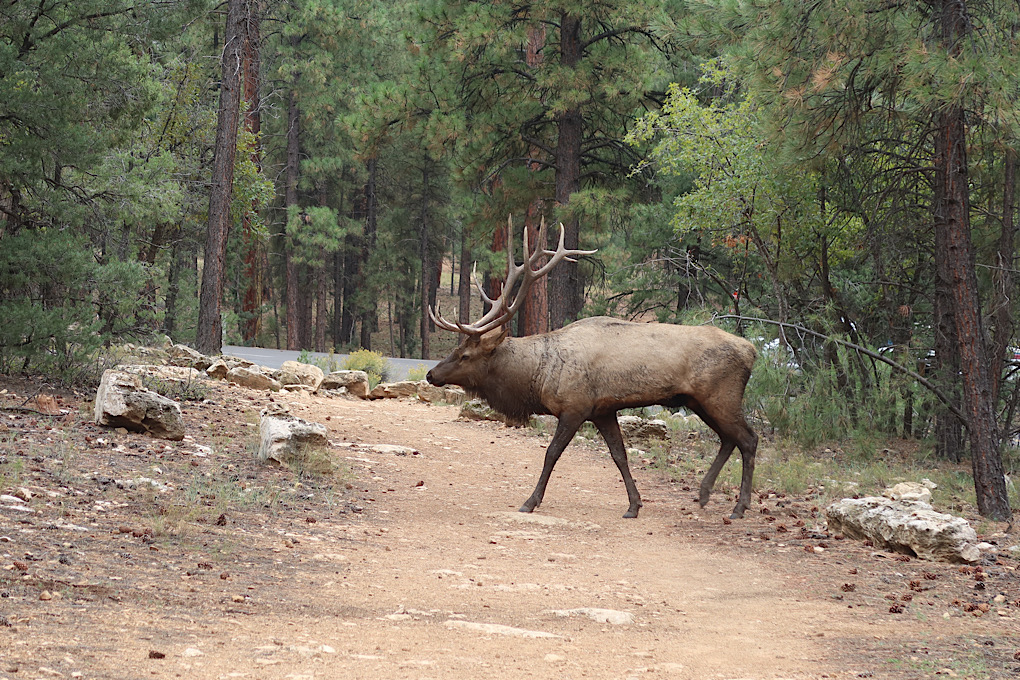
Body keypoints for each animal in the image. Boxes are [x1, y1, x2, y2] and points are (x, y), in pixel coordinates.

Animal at [424, 215, 758, 517]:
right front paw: (634, 505)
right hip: (698, 401)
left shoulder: (576, 406)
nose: (430, 374)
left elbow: (551, 453)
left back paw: (739, 507)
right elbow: (619, 455)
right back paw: (703, 494)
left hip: (721, 396)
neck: (539, 376)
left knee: (748, 439)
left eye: (465, 355)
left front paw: (530, 502)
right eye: (456, 349)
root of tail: (752, 351)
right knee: (729, 439)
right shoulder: (603, 410)